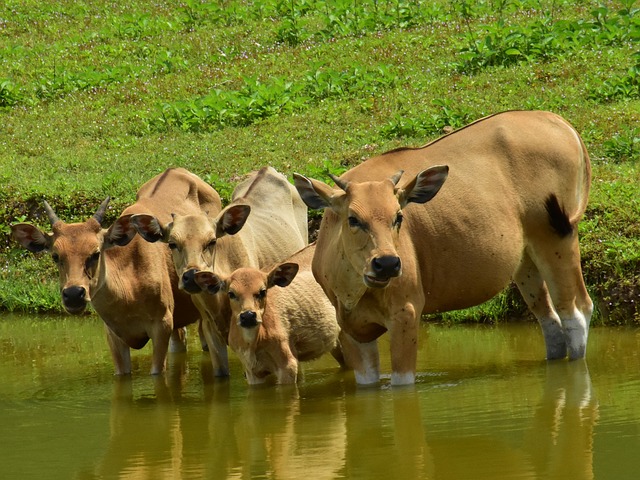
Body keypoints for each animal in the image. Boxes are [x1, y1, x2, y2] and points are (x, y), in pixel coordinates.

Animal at [9, 169, 220, 376]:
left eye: (95, 253)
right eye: (55, 256)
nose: (74, 294)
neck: (129, 291)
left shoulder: (162, 324)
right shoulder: (113, 334)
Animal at [195, 246, 344, 384]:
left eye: (263, 291)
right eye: (231, 293)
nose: (248, 316)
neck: (254, 344)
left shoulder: (288, 364)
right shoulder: (251, 371)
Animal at [296, 109, 596, 386]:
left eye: (398, 216)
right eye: (353, 219)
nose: (387, 264)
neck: (354, 290)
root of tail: (559, 122)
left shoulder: (406, 315)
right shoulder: (352, 332)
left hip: (556, 238)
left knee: (576, 312)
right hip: (526, 260)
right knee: (550, 321)